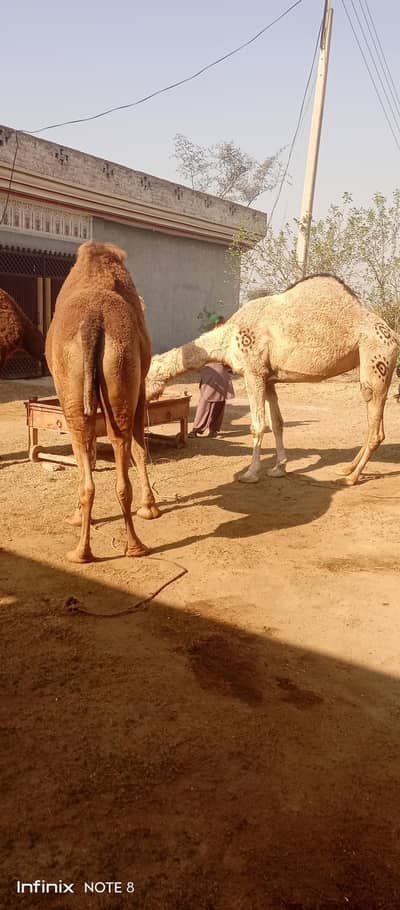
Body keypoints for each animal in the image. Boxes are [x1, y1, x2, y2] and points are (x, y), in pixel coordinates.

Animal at [46, 241, 160, 564]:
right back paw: (133, 547)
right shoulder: (140, 383)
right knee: (118, 440)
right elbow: (139, 445)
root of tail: (93, 321)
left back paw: (83, 551)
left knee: (85, 440)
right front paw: (150, 507)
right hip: (118, 367)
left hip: (78, 379)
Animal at [146, 275, 399, 486]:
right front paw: (279, 468)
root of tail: (393, 334)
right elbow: (277, 423)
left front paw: (250, 474)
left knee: (374, 421)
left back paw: (352, 478)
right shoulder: (268, 379)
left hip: (376, 359)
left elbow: (258, 426)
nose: (143, 401)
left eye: (145, 377)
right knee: (374, 425)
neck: (229, 337)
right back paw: (347, 468)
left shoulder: (253, 373)